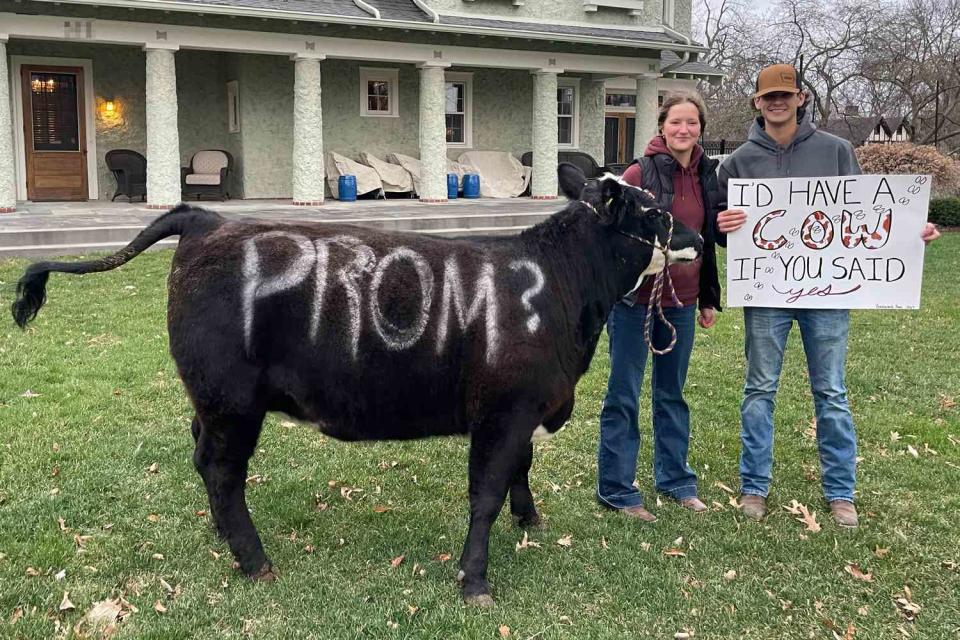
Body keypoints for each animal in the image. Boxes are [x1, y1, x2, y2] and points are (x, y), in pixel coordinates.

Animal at [13, 165, 704, 604]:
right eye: (653, 211)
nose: (699, 237)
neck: (557, 286)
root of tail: (208, 218)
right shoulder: (503, 411)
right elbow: (484, 492)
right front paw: (475, 582)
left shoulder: (522, 408)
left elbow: (520, 469)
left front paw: (529, 520)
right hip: (233, 403)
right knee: (221, 470)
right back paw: (255, 561)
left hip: (209, 399)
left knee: (198, 452)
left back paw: (221, 536)